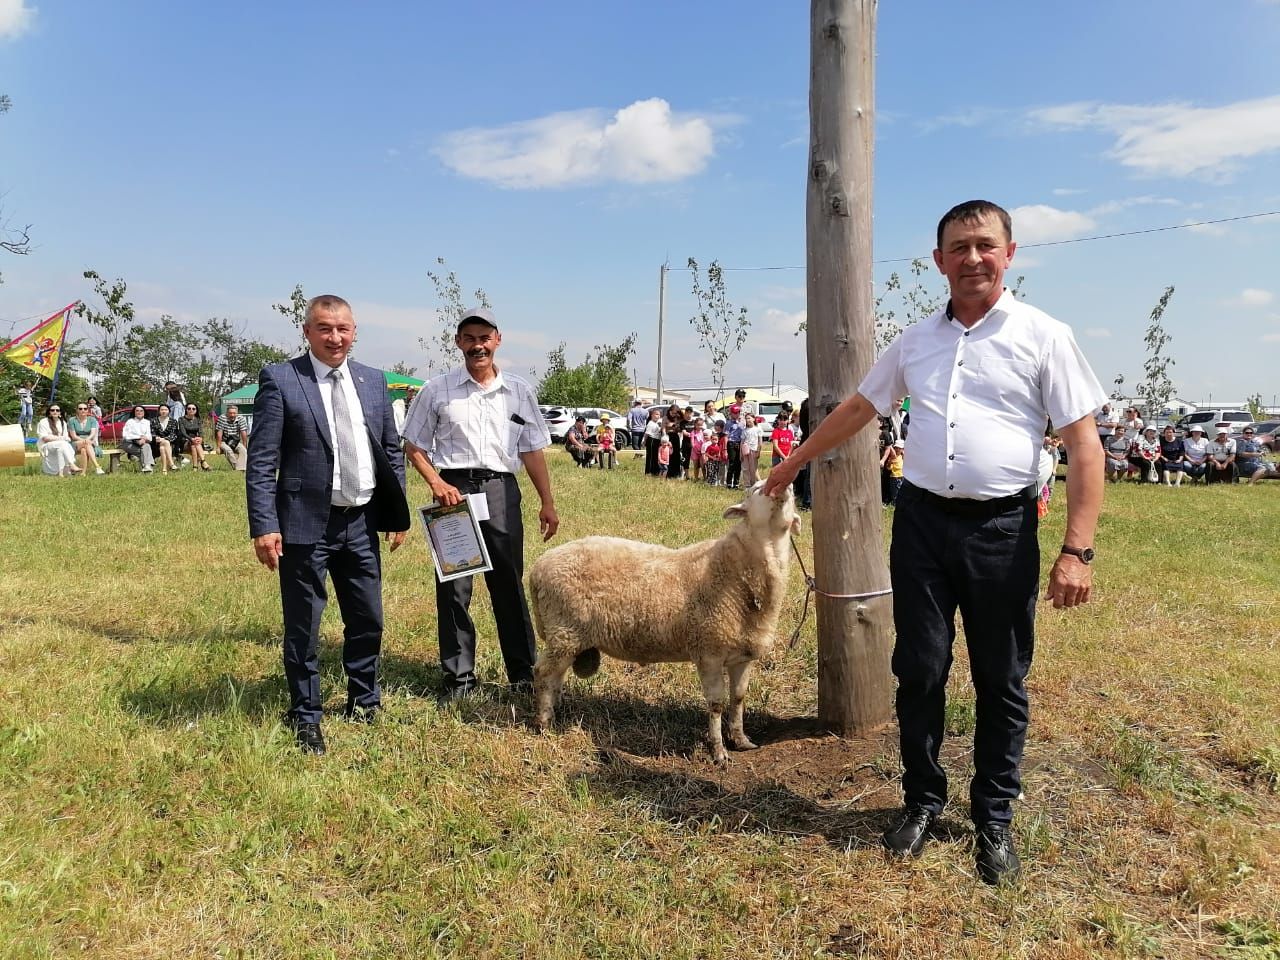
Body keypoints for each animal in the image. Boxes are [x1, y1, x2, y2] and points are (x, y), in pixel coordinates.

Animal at [524, 481, 793, 768]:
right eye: (755, 490)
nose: (783, 486)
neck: (740, 571)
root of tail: (539, 567)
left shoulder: (742, 655)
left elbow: (739, 698)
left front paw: (741, 740)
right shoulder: (709, 651)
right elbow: (716, 704)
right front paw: (718, 751)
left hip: (566, 636)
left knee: (555, 674)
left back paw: (556, 710)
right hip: (565, 630)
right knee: (543, 673)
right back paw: (543, 722)